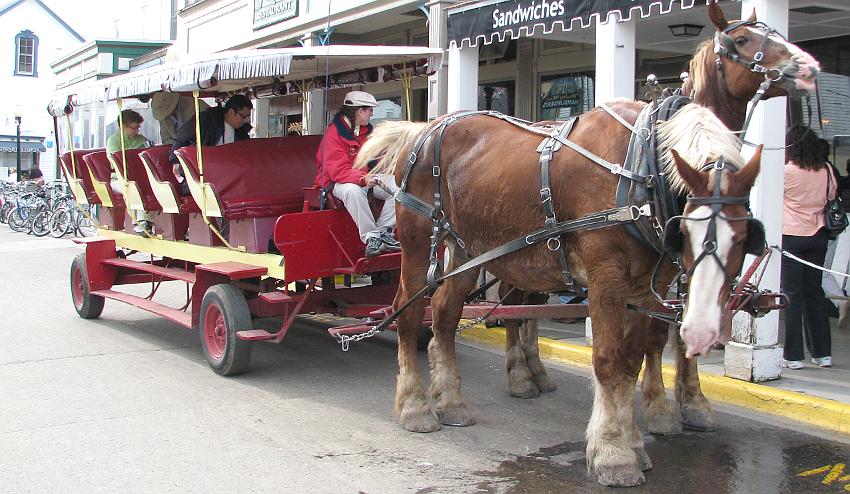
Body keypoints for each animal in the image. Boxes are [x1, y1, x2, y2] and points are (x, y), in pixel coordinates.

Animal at [354, 101, 760, 486]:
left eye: (744, 238)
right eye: (685, 230)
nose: (703, 333)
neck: (639, 172)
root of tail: (425, 127)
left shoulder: (647, 289)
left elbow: (631, 363)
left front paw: (632, 442)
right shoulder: (606, 280)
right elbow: (608, 361)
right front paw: (612, 453)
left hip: (466, 248)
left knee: (443, 313)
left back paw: (451, 402)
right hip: (418, 238)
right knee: (408, 315)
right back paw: (415, 406)